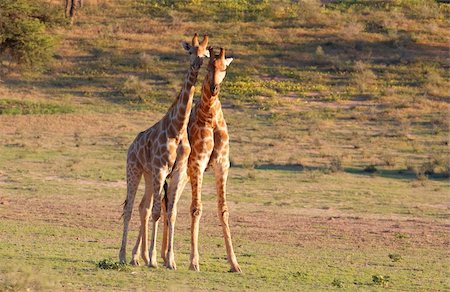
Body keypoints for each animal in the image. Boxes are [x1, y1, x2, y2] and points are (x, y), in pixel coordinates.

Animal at [119, 33, 211, 268]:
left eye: (205, 53)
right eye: (190, 51)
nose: (197, 63)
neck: (177, 129)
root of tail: (132, 145)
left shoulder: (177, 171)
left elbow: (171, 212)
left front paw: (170, 261)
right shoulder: (161, 169)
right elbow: (158, 212)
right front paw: (153, 259)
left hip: (149, 175)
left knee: (143, 206)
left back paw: (135, 257)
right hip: (134, 169)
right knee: (129, 208)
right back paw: (122, 256)